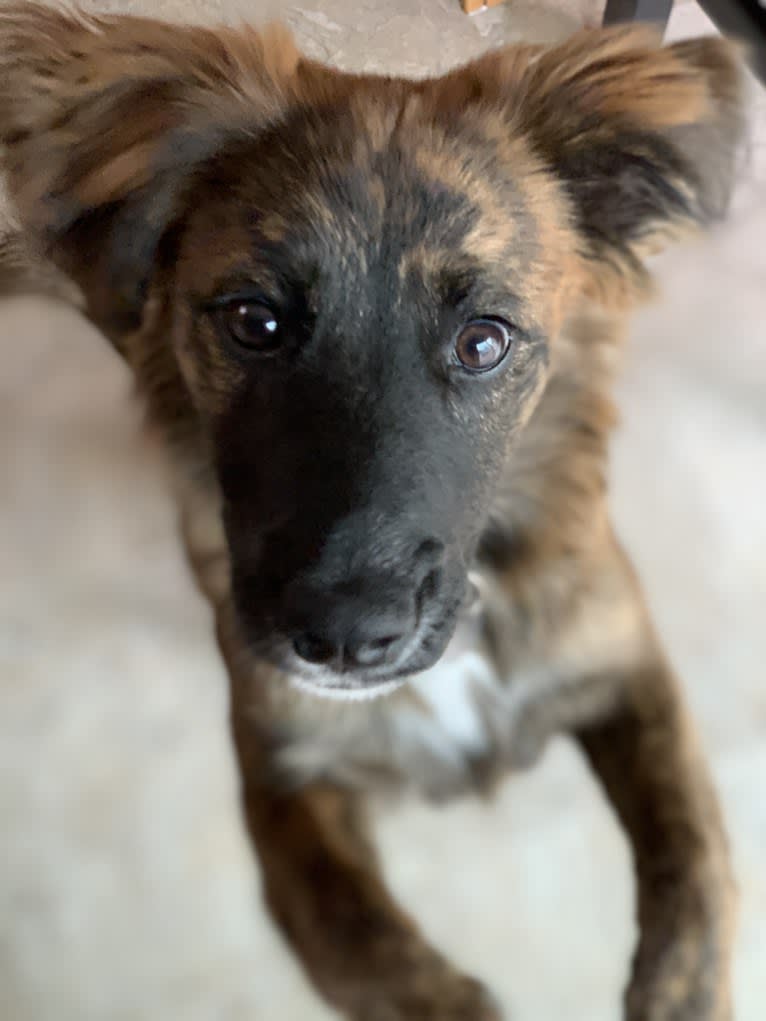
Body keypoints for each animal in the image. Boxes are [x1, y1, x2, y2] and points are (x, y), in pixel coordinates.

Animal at [0, 3, 747, 1016]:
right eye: (255, 321)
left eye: (483, 342)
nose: (347, 638)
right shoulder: (283, 780)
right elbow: (383, 960)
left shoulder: (625, 661)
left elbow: (696, 865)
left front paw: (676, 986)